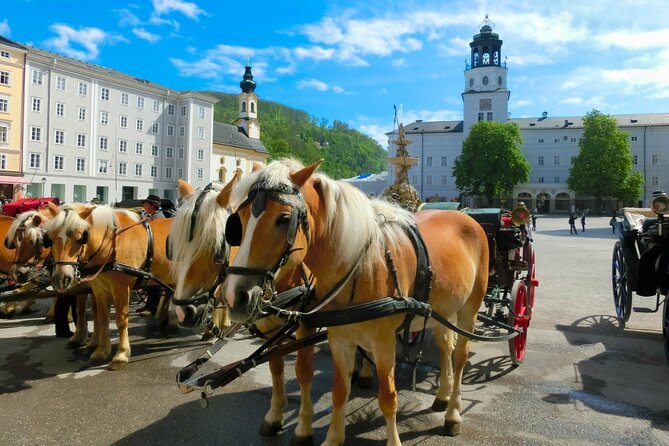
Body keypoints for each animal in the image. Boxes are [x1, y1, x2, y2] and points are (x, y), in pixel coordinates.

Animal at [41, 202, 172, 370]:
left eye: (80, 238)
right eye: (49, 239)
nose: (61, 278)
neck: (112, 242)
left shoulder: (121, 287)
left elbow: (121, 320)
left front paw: (121, 355)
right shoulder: (99, 289)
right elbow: (101, 318)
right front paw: (101, 351)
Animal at [222, 159, 488, 442]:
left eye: (284, 219)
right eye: (239, 218)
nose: (234, 296)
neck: (362, 266)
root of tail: (465, 216)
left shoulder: (382, 342)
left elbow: (387, 398)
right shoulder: (339, 339)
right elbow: (338, 389)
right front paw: (330, 437)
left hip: (469, 309)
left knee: (460, 356)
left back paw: (453, 414)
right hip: (442, 310)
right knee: (445, 346)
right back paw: (442, 395)